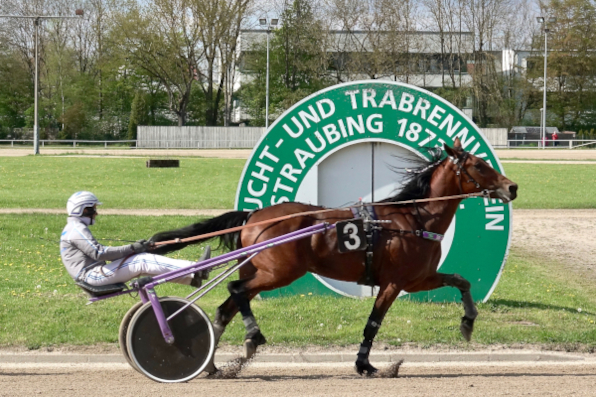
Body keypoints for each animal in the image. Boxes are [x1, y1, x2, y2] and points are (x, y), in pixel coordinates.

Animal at [149, 139, 516, 374]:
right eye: (479, 165)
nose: (511, 187)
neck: (414, 219)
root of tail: (254, 216)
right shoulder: (395, 282)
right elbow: (373, 323)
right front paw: (366, 365)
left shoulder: (418, 279)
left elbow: (462, 281)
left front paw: (468, 322)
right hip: (278, 273)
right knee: (235, 290)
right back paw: (252, 337)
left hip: (263, 272)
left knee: (226, 308)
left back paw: (213, 364)